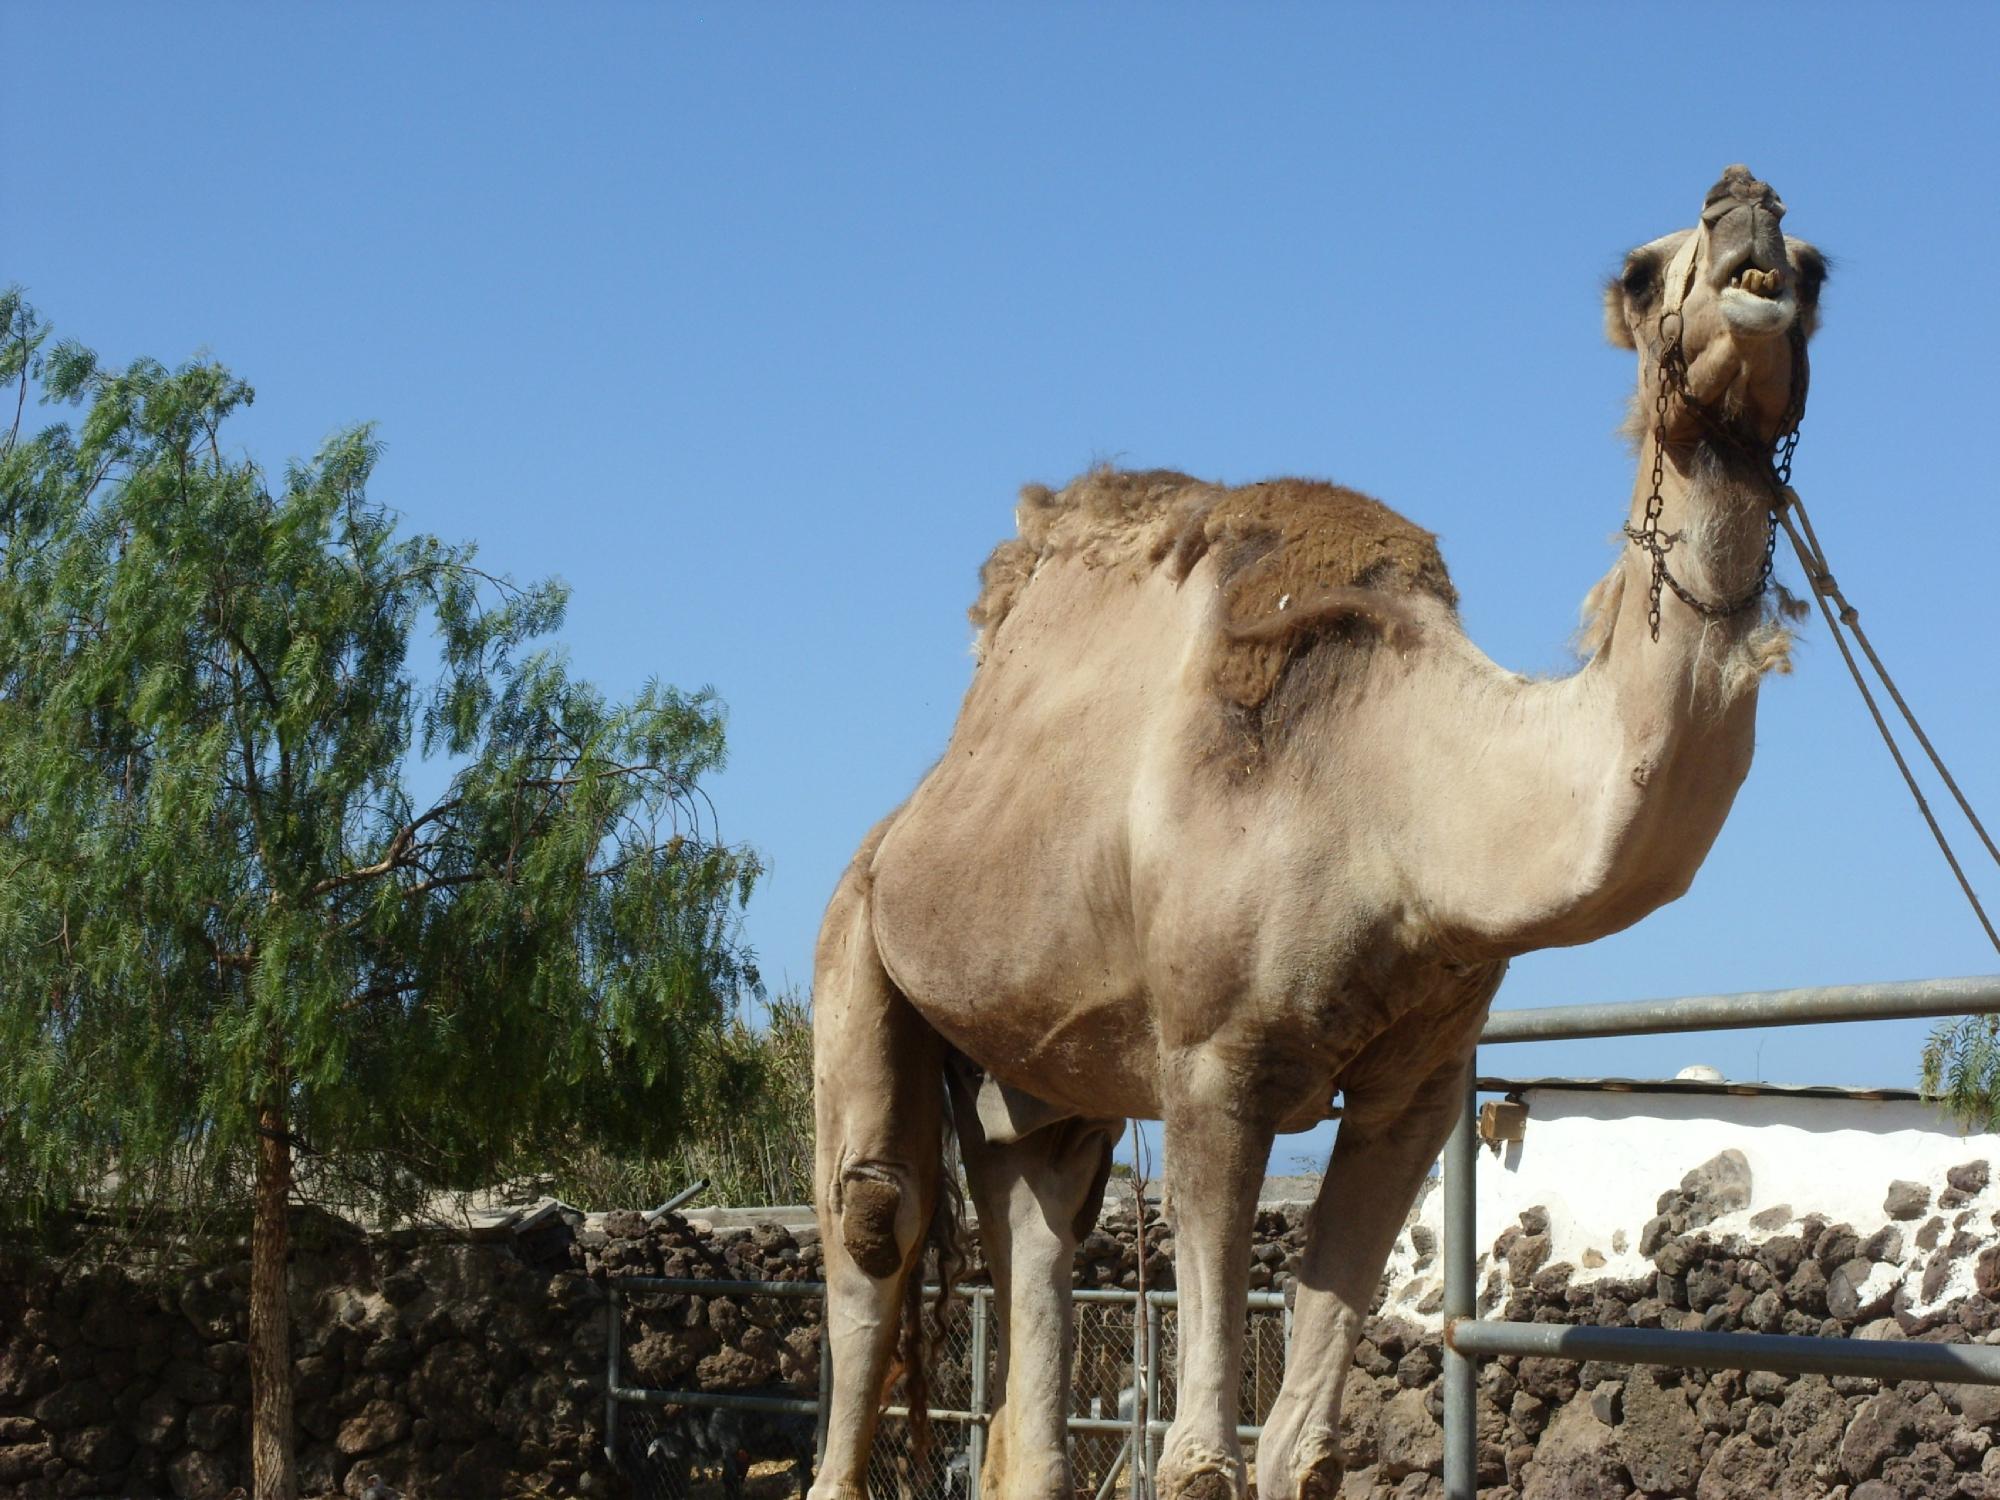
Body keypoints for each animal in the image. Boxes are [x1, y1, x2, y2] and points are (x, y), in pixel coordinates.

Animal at [812, 164, 1832, 1500]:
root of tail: (900, 824)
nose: (1746, 208)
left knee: (1036, 1219)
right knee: (873, 1222)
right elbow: (1200, 1459)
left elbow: (1303, 1452)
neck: (1405, 800)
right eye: (1641, 270)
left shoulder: (1416, 1083)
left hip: (1032, 1069)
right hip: (857, 946)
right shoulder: (1210, 1065)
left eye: (1816, 270)